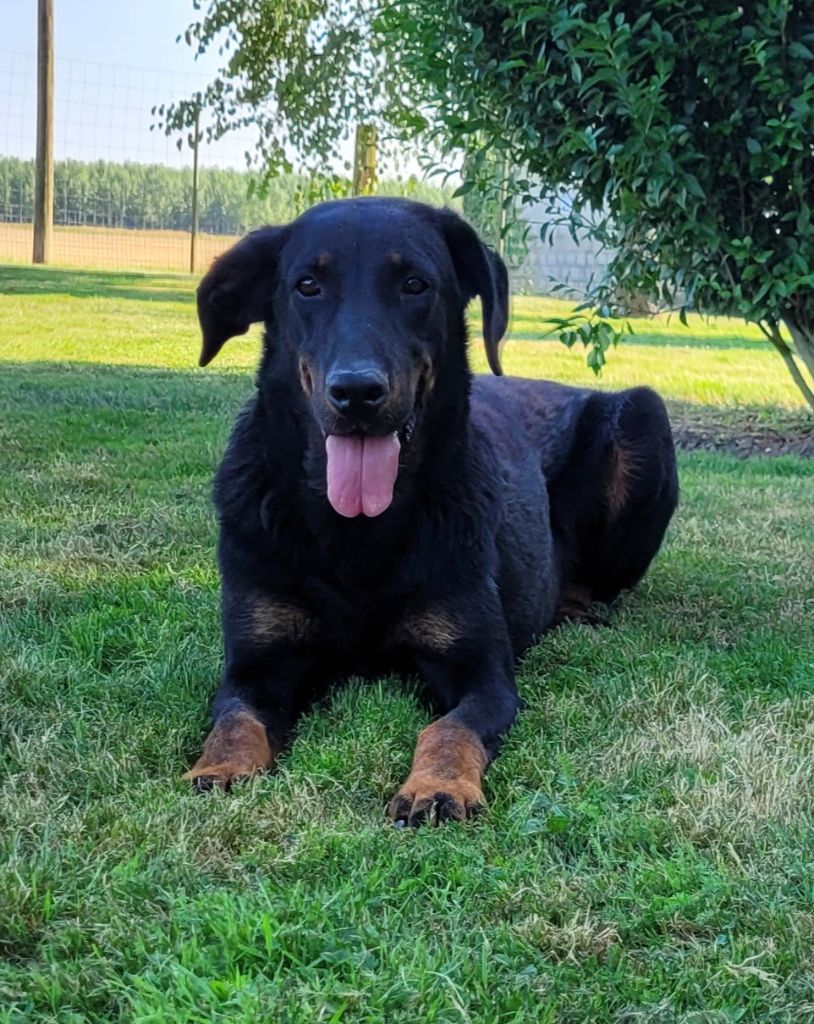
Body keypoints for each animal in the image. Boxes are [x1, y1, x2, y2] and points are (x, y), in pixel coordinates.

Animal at [186, 197, 679, 823]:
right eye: (307, 286)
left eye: (415, 284)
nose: (357, 393)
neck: (355, 534)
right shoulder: (256, 665)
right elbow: (234, 720)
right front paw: (218, 768)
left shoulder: (482, 675)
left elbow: (447, 729)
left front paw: (438, 785)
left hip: (644, 417)